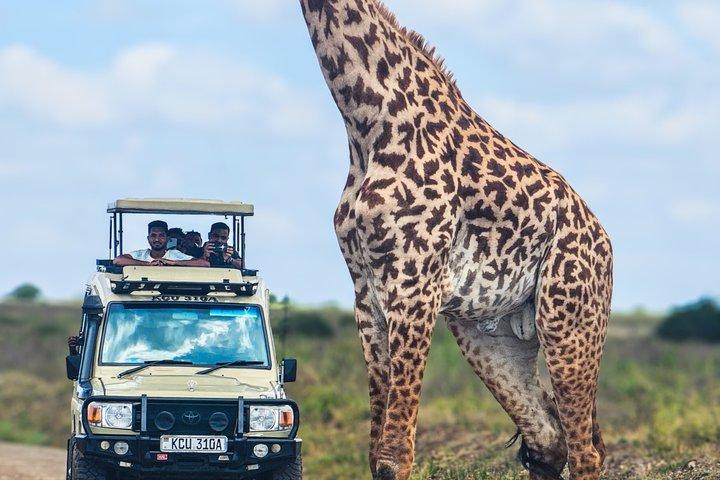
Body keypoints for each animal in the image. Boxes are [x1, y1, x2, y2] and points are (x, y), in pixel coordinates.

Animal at [299, 1, 613, 479]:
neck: (367, 123)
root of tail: (605, 243)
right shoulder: (365, 291)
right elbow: (374, 453)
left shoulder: (414, 284)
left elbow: (392, 458)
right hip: (492, 336)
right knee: (549, 441)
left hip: (570, 322)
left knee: (584, 452)